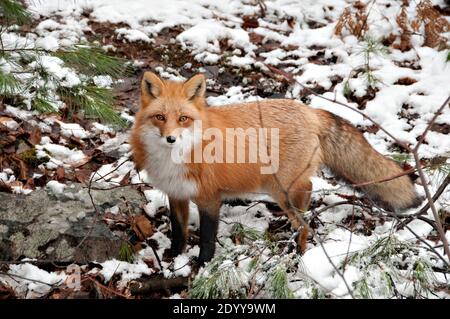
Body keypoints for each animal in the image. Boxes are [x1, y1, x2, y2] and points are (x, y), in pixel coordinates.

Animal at [131, 72, 422, 264]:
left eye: (183, 119)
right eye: (160, 117)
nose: (170, 138)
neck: (176, 159)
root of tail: (310, 111)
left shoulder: (209, 198)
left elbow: (207, 237)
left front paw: (203, 263)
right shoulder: (176, 193)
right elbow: (178, 229)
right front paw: (174, 255)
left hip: (281, 188)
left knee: (305, 208)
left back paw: (300, 249)